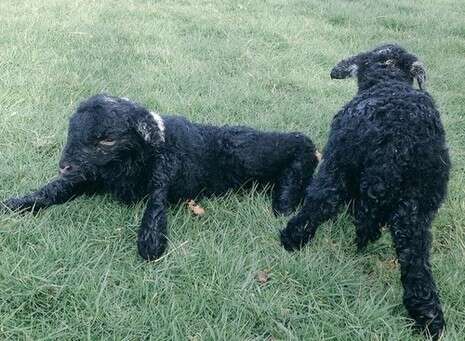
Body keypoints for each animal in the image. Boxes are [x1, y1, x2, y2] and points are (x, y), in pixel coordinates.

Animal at [0, 94, 320, 258]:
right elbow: (52, 190)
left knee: (300, 143)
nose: (64, 164)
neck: (127, 164)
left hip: (255, 151)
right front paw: (15, 203)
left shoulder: (161, 178)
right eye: (72, 131)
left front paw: (150, 244)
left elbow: (154, 210)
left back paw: (286, 198)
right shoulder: (89, 176)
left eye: (107, 139)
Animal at [280, 44, 450, 338]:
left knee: (321, 202)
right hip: (419, 204)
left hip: (337, 163)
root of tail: (399, 144)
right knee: (415, 260)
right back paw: (428, 317)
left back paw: (291, 239)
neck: (388, 81)